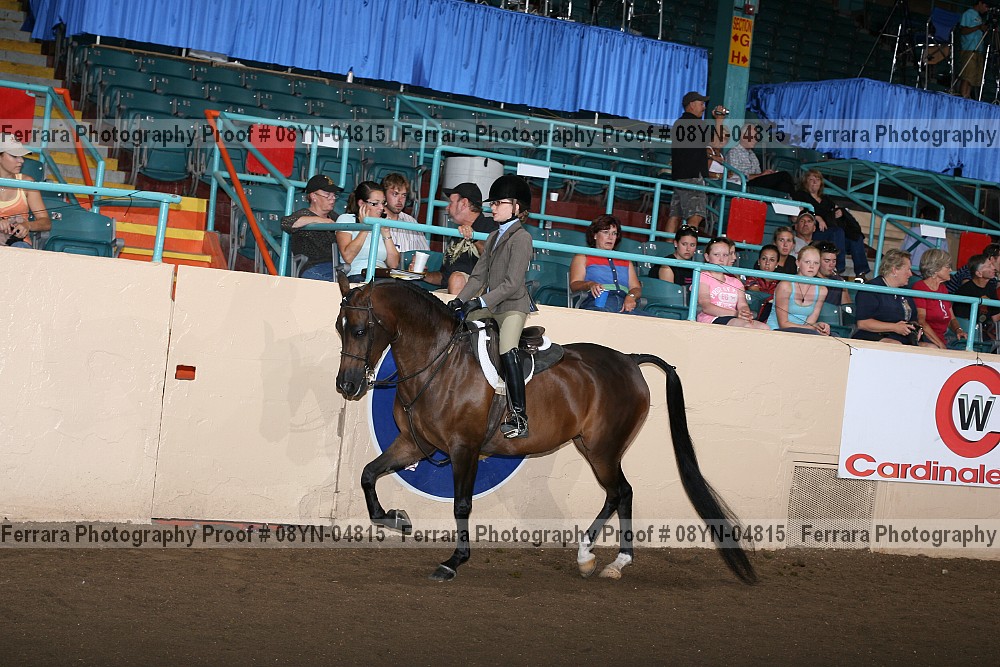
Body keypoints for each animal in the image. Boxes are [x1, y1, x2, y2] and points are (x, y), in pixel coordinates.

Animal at [335, 276, 756, 584]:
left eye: (360, 330)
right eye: (340, 329)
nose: (347, 386)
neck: (438, 363)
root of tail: (630, 360)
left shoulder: (463, 448)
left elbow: (461, 504)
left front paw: (454, 560)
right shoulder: (414, 443)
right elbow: (368, 474)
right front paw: (396, 518)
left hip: (603, 448)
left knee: (621, 492)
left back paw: (613, 560)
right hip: (592, 446)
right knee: (618, 494)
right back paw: (594, 558)